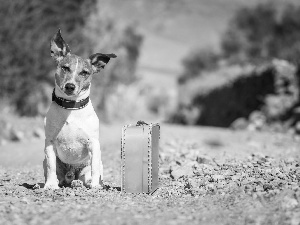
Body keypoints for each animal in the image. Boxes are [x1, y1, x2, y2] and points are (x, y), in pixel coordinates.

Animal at [43, 29, 116, 189]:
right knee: (56, 174)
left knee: (89, 173)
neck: (71, 108)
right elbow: (51, 166)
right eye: (65, 68)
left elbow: (95, 168)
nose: (70, 86)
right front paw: (50, 185)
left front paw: (95, 186)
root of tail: (71, 175)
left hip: (92, 165)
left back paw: (84, 182)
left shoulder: (94, 143)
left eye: (84, 73)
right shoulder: (49, 143)